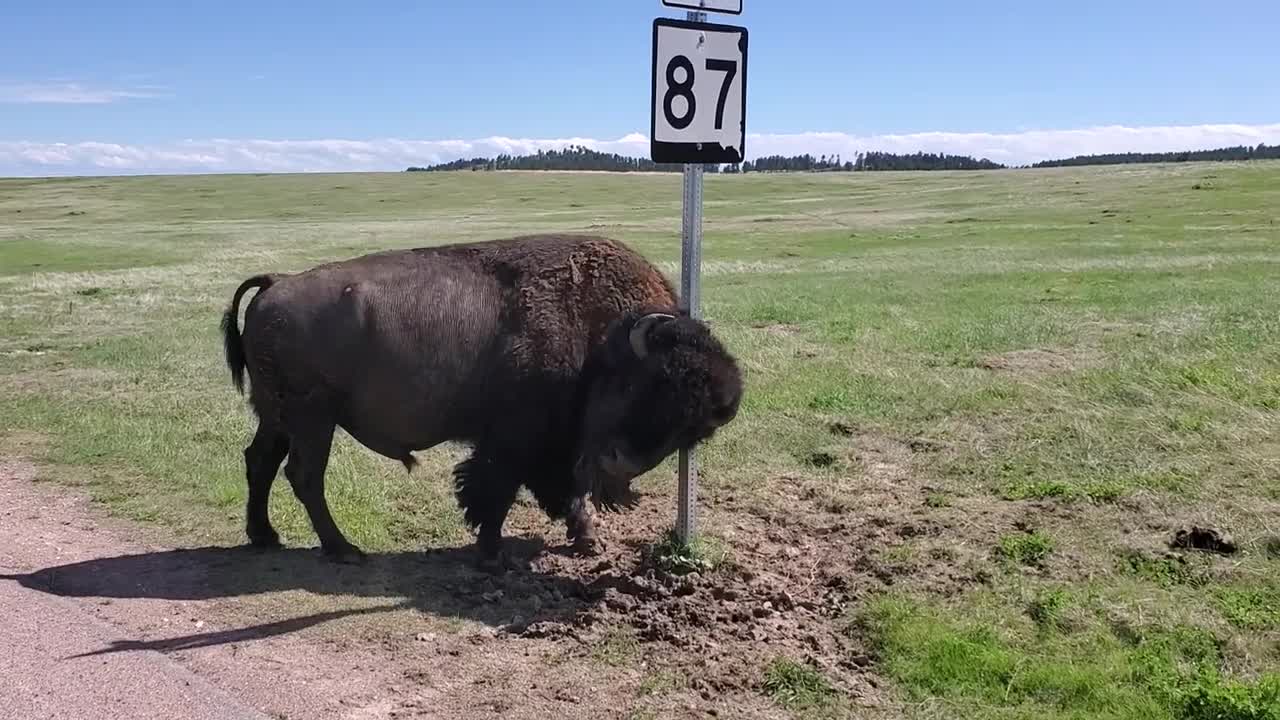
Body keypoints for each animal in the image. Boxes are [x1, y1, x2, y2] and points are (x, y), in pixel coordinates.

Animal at [220, 233, 742, 568]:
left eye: (693, 432)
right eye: (640, 385)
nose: (620, 464)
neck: (600, 335)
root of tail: (277, 282)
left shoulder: (562, 442)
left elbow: (565, 488)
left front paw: (586, 539)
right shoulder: (514, 438)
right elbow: (497, 488)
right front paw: (492, 554)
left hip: (278, 415)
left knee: (260, 461)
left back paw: (265, 536)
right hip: (313, 416)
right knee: (304, 474)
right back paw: (344, 550)